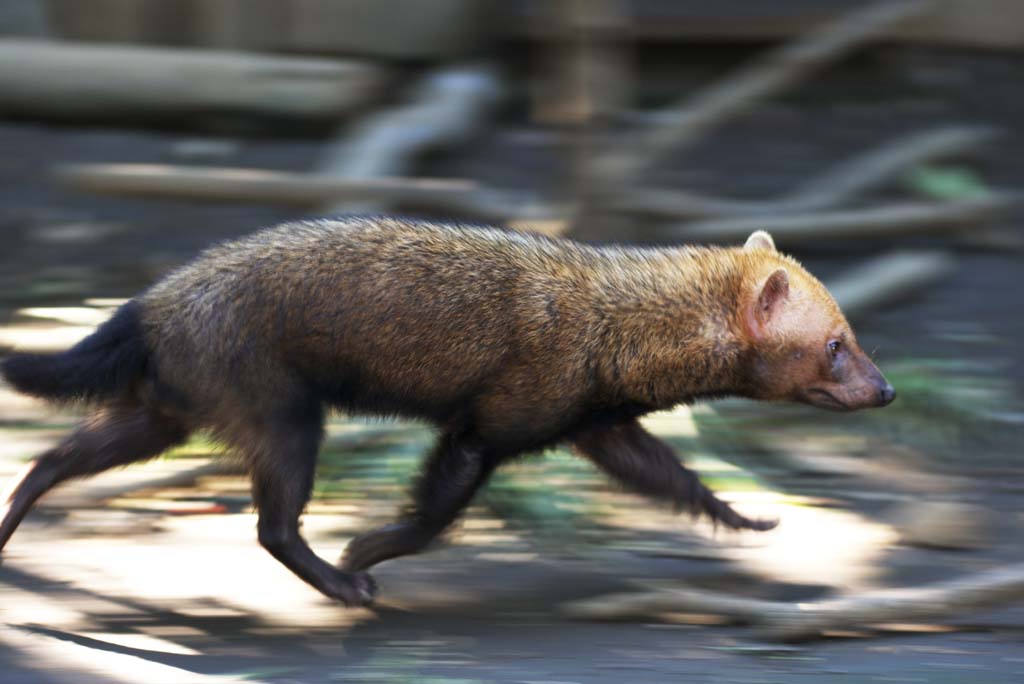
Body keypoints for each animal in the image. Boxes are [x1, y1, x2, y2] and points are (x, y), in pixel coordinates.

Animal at [0, 218, 892, 602]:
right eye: (837, 343)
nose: (885, 389)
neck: (613, 332)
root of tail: (149, 303)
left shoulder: (593, 421)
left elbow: (667, 475)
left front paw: (745, 519)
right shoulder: (493, 422)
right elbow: (434, 512)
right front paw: (364, 551)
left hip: (169, 409)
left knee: (56, 455)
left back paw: (10, 523)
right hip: (277, 411)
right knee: (274, 524)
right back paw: (343, 586)